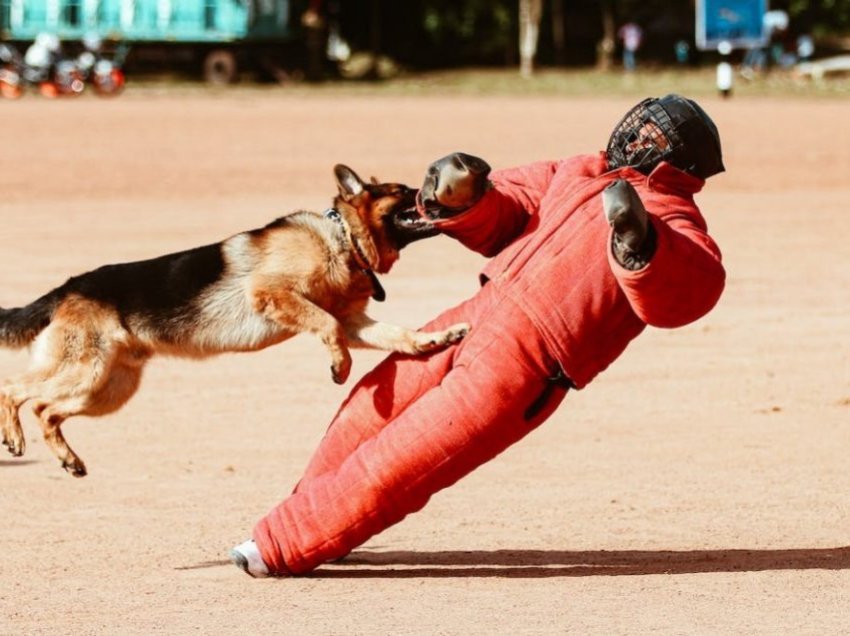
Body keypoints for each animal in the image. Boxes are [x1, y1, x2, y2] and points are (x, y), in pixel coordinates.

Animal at [0, 165, 468, 476]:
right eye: (402, 190)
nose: (434, 194)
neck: (341, 240)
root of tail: (66, 288)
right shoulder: (273, 294)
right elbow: (327, 328)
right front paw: (340, 366)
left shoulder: (355, 322)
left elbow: (399, 334)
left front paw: (437, 339)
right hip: (86, 370)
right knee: (15, 389)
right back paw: (15, 437)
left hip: (108, 389)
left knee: (46, 409)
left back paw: (69, 459)